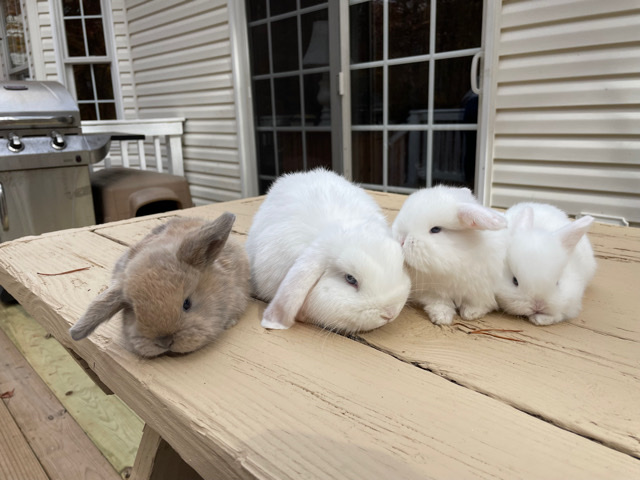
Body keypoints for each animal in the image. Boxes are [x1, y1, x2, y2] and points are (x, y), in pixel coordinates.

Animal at [391, 185, 508, 326]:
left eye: (436, 229)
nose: (401, 240)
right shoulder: (431, 292)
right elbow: (439, 303)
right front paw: (442, 318)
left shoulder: (482, 290)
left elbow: (479, 303)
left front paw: (470, 314)